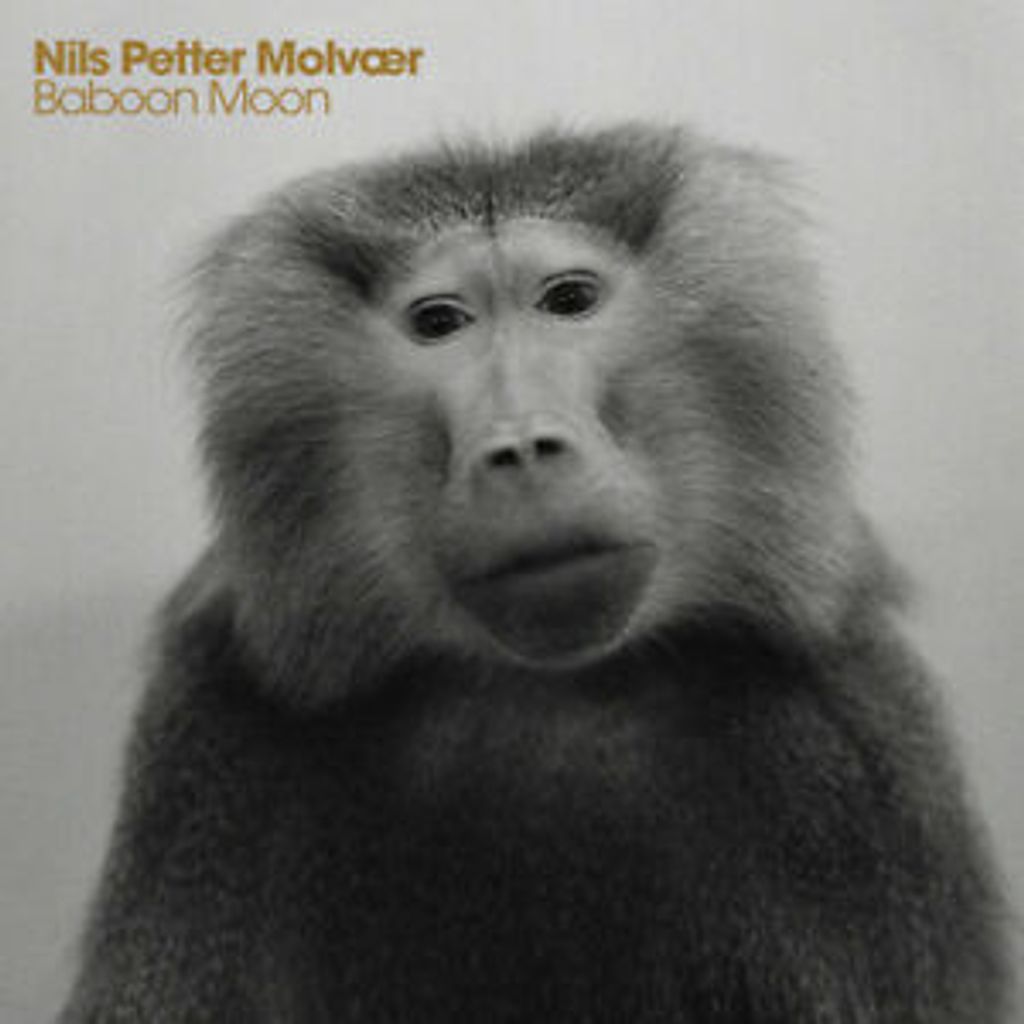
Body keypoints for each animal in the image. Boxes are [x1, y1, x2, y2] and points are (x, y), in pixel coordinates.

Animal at [61, 124, 1010, 1022]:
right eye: (439, 323)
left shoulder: (849, 749)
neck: (549, 689)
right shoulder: (210, 748)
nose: (522, 447)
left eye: (569, 301)